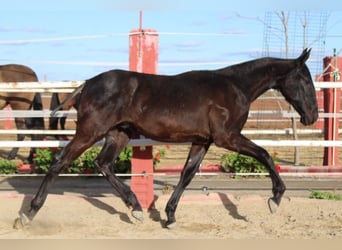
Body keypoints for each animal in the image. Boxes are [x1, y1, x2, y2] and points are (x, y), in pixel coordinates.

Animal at [13, 48, 318, 229]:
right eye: (305, 79)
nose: (312, 116)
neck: (235, 87)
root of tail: (88, 83)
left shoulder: (203, 141)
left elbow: (187, 175)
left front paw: (169, 216)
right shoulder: (227, 138)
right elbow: (265, 154)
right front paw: (275, 199)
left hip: (118, 134)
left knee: (103, 164)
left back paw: (135, 207)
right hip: (90, 132)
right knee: (59, 162)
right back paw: (27, 214)